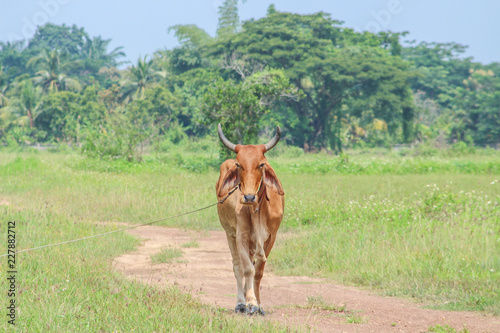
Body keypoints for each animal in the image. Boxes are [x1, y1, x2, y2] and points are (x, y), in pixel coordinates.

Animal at [216, 123, 286, 316]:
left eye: (261, 164)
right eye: (239, 165)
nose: (248, 197)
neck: (258, 211)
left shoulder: (271, 237)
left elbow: (259, 271)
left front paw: (259, 305)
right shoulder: (241, 236)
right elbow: (247, 269)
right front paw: (251, 303)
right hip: (230, 235)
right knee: (238, 267)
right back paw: (241, 303)